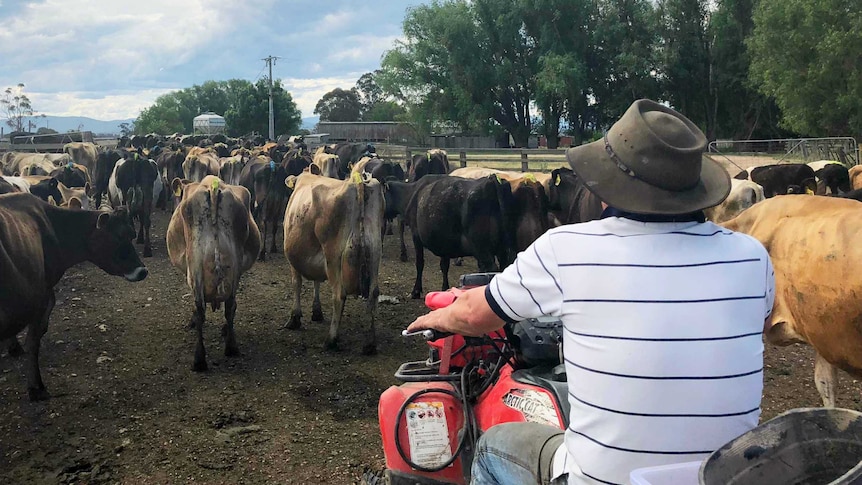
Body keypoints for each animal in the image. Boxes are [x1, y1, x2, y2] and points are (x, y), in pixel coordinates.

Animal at [0, 191, 148, 398]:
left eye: (132, 234)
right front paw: (36, 388)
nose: (142, 271)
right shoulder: (41, 297)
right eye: (118, 237)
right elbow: (33, 341)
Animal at [167, 177, 262, 370]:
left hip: (195, 265)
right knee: (230, 305)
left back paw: (199, 359)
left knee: (200, 309)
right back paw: (231, 347)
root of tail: (213, 185)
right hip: (234, 265)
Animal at [284, 170, 384, 352]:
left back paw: (331, 340)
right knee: (373, 294)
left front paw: (295, 318)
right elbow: (316, 282)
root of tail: (358, 183)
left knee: (338, 296)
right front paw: (316, 312)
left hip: (333, 258)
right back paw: (369, 343)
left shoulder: (293, 260)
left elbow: (296, 284)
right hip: (374, 255)